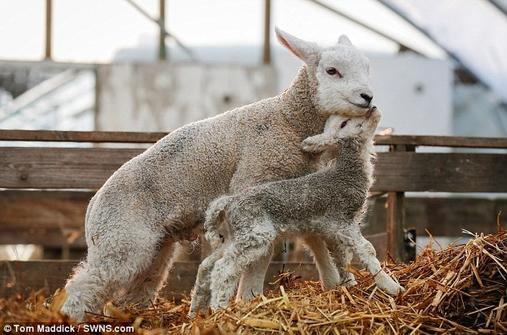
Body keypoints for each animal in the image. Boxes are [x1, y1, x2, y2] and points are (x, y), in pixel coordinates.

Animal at [61, 27, 376, 322]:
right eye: (332, 71)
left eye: (367, 68)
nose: (368, 96)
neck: (287, 120)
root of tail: (93, 205)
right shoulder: (255, 182)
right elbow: (262, 256)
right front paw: (249, 300)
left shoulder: (297, 199)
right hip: (122, 239)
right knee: (84, 286)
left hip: (153, 247)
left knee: (133, 288)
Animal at [190, 107, 404, 316]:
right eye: (344, 123)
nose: (372, 109)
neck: (345, 174)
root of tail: (228, 201)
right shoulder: (343, 220)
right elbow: (368, 249)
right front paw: (392, 287)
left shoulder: (332, 229)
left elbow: (342, 256)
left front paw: (348, 285)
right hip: (255, 234)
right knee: (223, 268)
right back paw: (220, 309)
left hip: (236, 235)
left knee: (209, 266)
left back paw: (198, 311)